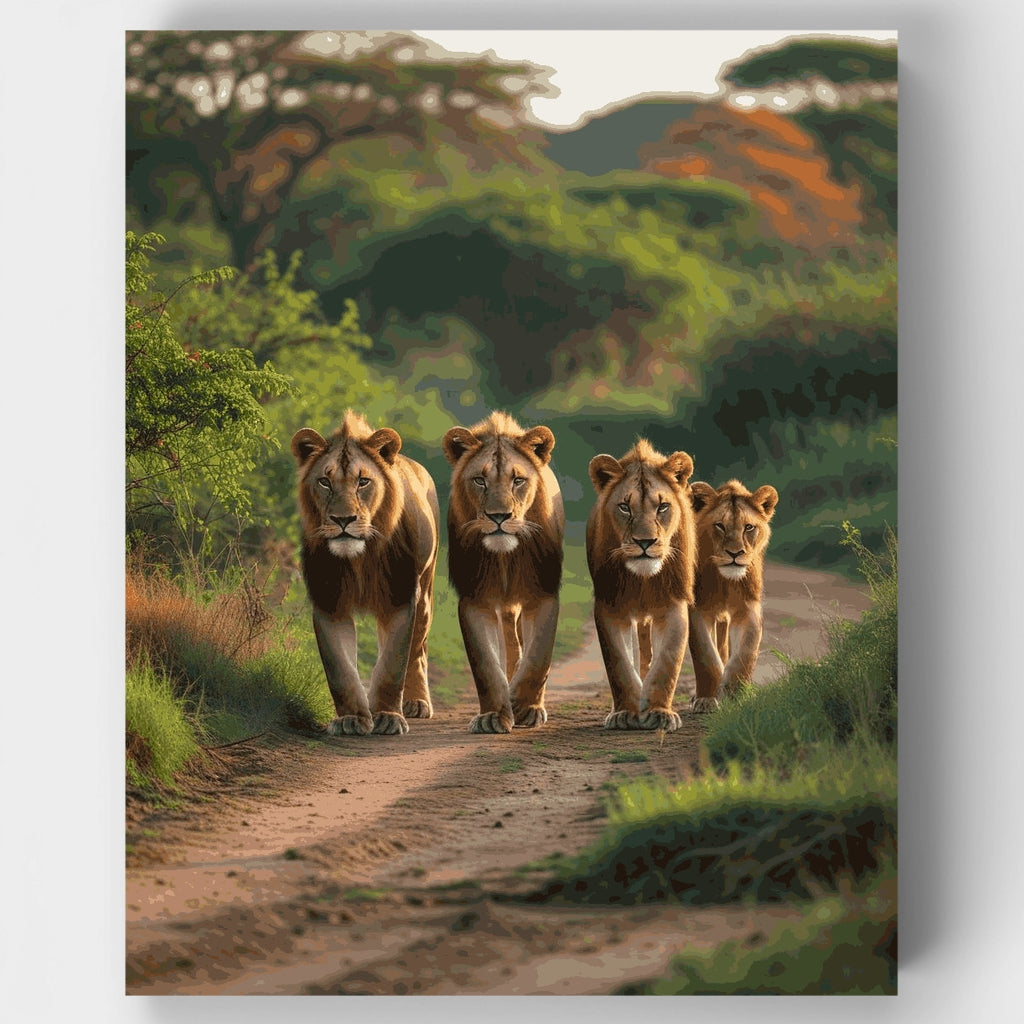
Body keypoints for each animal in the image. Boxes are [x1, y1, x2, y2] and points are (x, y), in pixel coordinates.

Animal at [290, 411, 440, 736]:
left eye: (363, 482)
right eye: (324, 481)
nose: (343, 519)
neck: (359, 558)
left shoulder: (400, 598)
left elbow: (394, 663)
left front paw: (387, 716)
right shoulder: (328, 603)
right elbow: (340, 669)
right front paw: (352, 718)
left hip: (425, 594)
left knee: (418, 650)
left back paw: (417, 703)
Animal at [442, 412, 564, 734]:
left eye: (518, 480)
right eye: (479, 480)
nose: (499, 516)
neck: (504, 557)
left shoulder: (544, 594)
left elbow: (538, 656)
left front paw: (524, 706)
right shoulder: (473, 599)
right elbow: (485, 664)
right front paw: (493, 715)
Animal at [586, 440, 696, 732]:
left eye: (662, 507)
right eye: (625, 507)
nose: (645, 542)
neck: (643, 580)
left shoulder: (673, 603)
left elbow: (667, 662)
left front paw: (658, 711)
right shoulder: (609, 605)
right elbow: (619, 664)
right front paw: (626, 712)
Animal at [687, 479, 779, 713]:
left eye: (749, 527)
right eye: (720, 525)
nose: (735, 553)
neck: (726, 581)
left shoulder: (748, 609)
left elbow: (745, 654)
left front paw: (734, 693)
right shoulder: (698, 610)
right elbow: (706, 657)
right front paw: (707, 699)